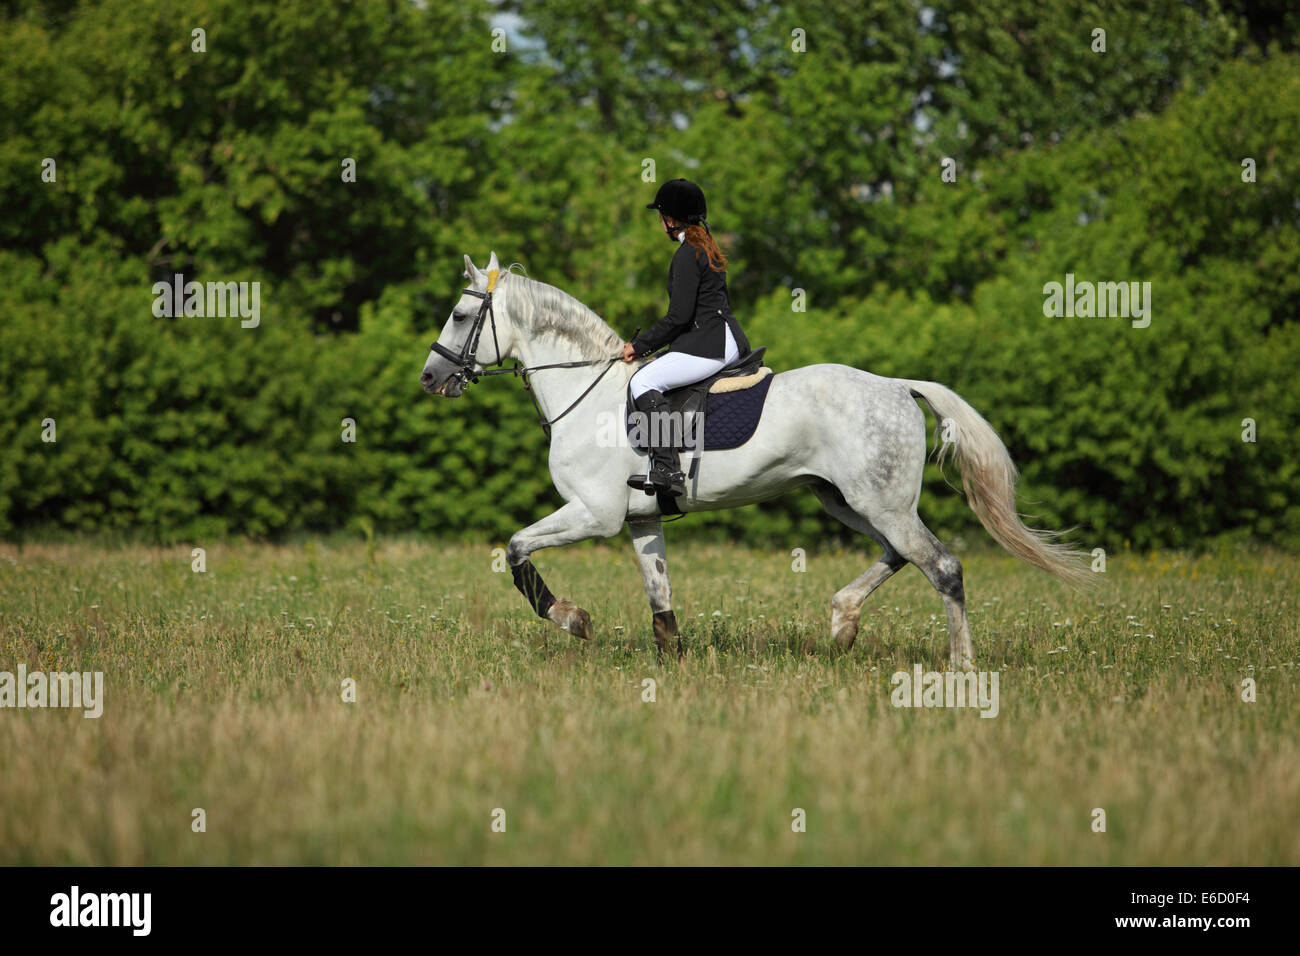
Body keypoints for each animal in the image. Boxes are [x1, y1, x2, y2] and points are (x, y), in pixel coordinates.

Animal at [423, 254, 1086, 671]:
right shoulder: (641, 519)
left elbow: (516, 548)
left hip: (880, 502)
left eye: (460, 316)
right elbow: (659, 592)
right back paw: (843, 623)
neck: (588, 394)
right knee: (899, 555)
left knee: (942, 567)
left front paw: (572, 619)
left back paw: (960, 665)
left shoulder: (595, 513)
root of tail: (898, 386)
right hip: (846, 500)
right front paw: (673, 660)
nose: (430, 379)